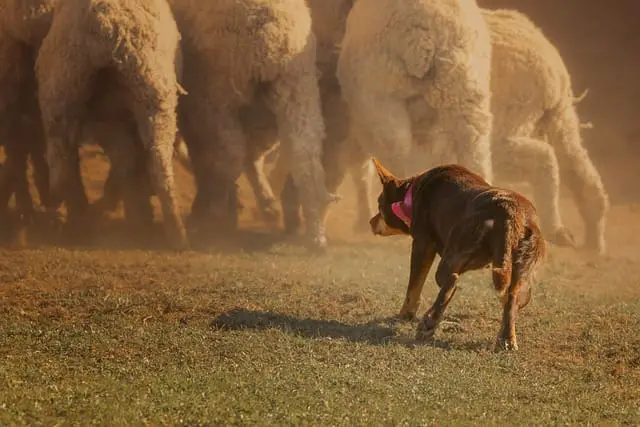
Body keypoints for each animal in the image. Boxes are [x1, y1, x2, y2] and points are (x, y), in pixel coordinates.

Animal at [370, 158, 544, 352]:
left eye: (379, 204)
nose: (370, 222)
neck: (412, 193)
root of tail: (510, 214)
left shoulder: (422, 244)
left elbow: (413, 287)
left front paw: (404, 315)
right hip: (520, 267)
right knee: (511, 295)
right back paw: (506, 339)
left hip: (453, 254)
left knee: (451, 281)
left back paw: (429, 324)